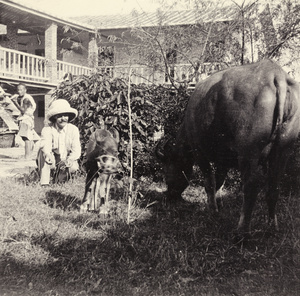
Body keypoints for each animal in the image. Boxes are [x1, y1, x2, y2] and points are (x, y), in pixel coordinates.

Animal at [157, 60, 300, 235]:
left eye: (166, 172)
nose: (169, 196)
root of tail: (274, 73)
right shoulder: (222, 160)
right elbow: (219, 181)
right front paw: (218, 205)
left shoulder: (199, 152)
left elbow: (210, 182)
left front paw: (212, 211)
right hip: (283, 149)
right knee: (274, 186)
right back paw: (272, 227)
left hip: (248, 151)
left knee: (251, 185)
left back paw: (242, 231)